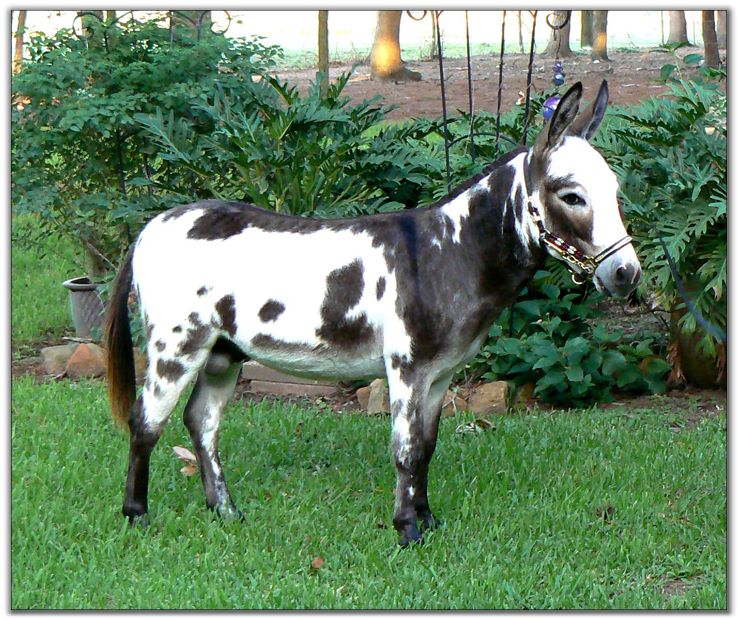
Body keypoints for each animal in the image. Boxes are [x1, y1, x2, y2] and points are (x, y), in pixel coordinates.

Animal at [106, 81, 641, 546]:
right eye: (572, 196)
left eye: (615, 191)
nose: (627, 274)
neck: (449, 252)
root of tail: (152, 225)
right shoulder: (406, 368)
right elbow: (404, 448)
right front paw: (407, 531)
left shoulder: (440, 375)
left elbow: (426, 447)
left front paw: (428, 520)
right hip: (177, 344)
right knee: (146, 420)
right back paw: (137, 516)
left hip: (223, 350)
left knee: (201, 421)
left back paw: (225, 511)